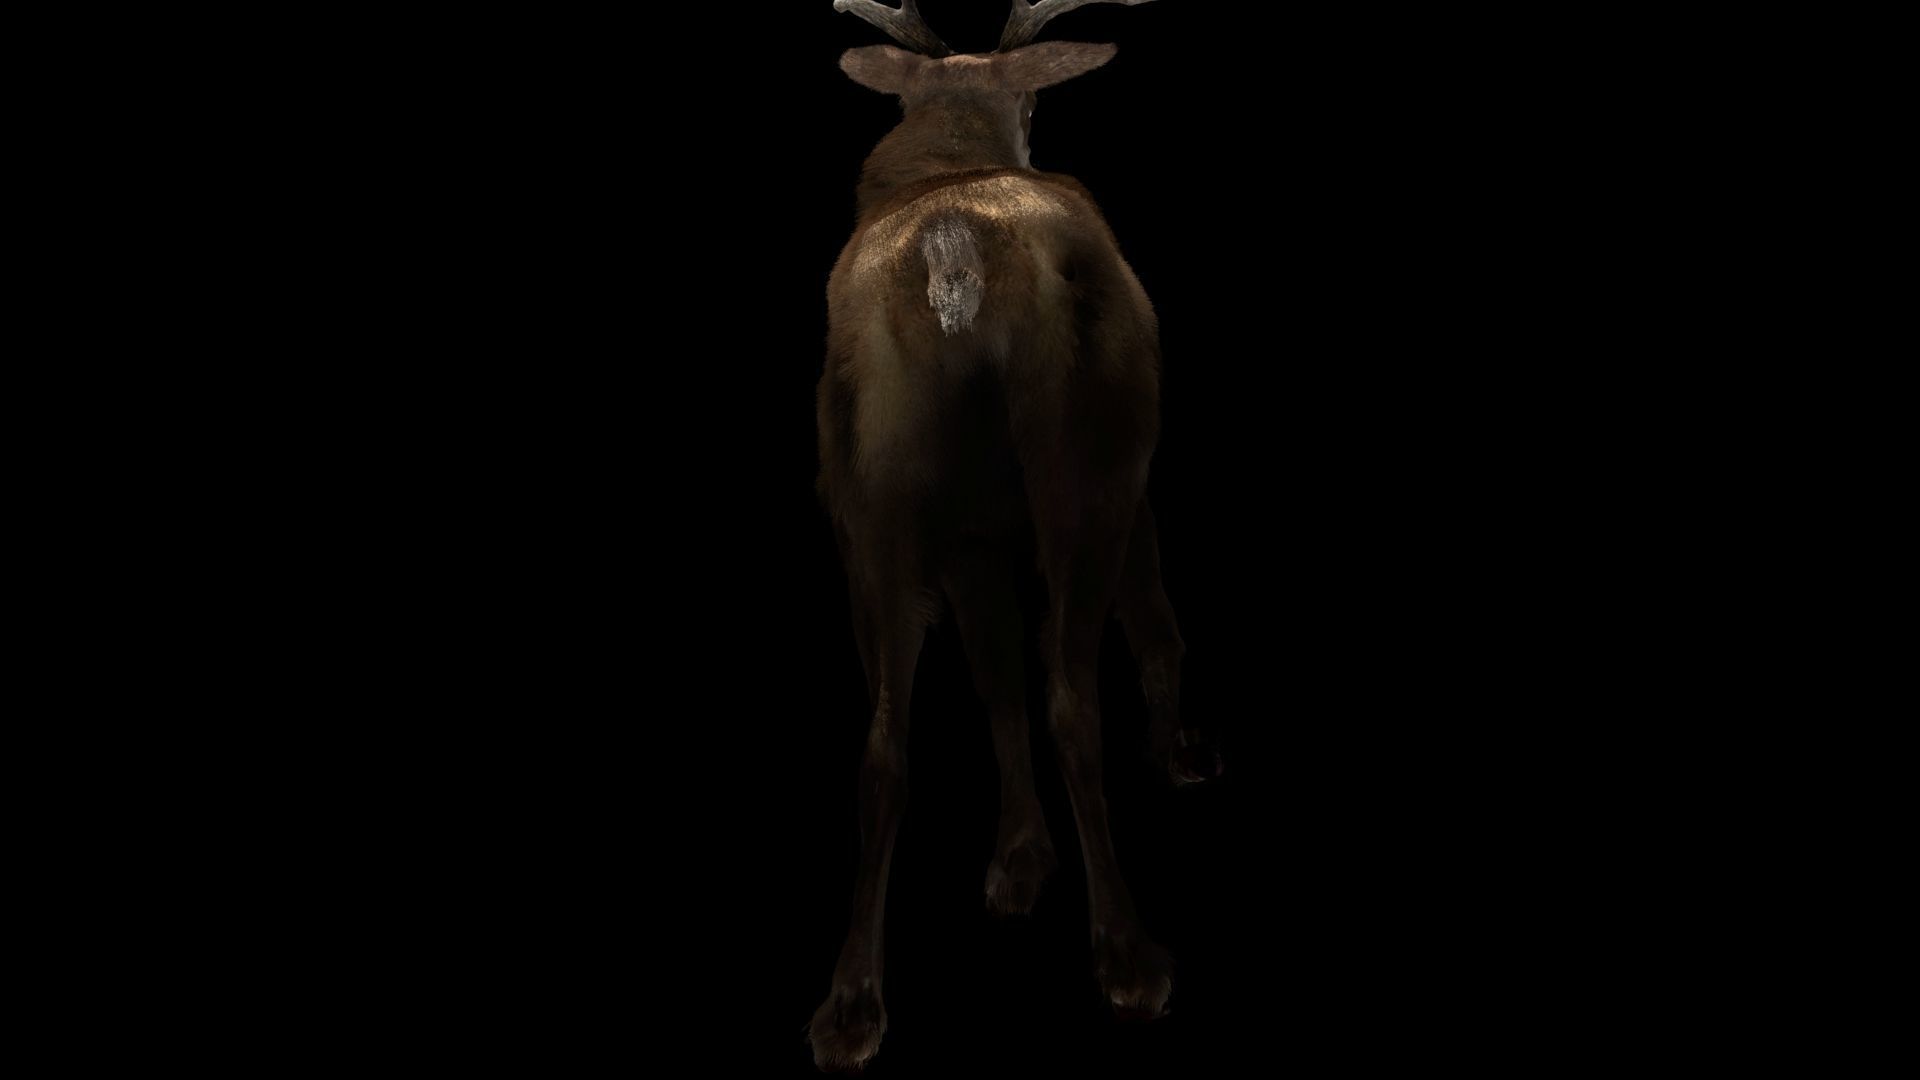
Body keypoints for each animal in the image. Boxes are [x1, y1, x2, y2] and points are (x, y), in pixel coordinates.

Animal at [809, 0, 1221, 1070]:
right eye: (1032, 100)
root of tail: (952, 254)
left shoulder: (966, 538)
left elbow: (991, 678)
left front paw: (1018, 860)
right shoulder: (1133, 474)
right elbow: (1151, 627)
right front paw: (1181, 753)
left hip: (870, 501)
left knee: (884, 737)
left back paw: (850, 1004)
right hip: (1084, 455)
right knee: (1075, 686)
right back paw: (1130, 957)